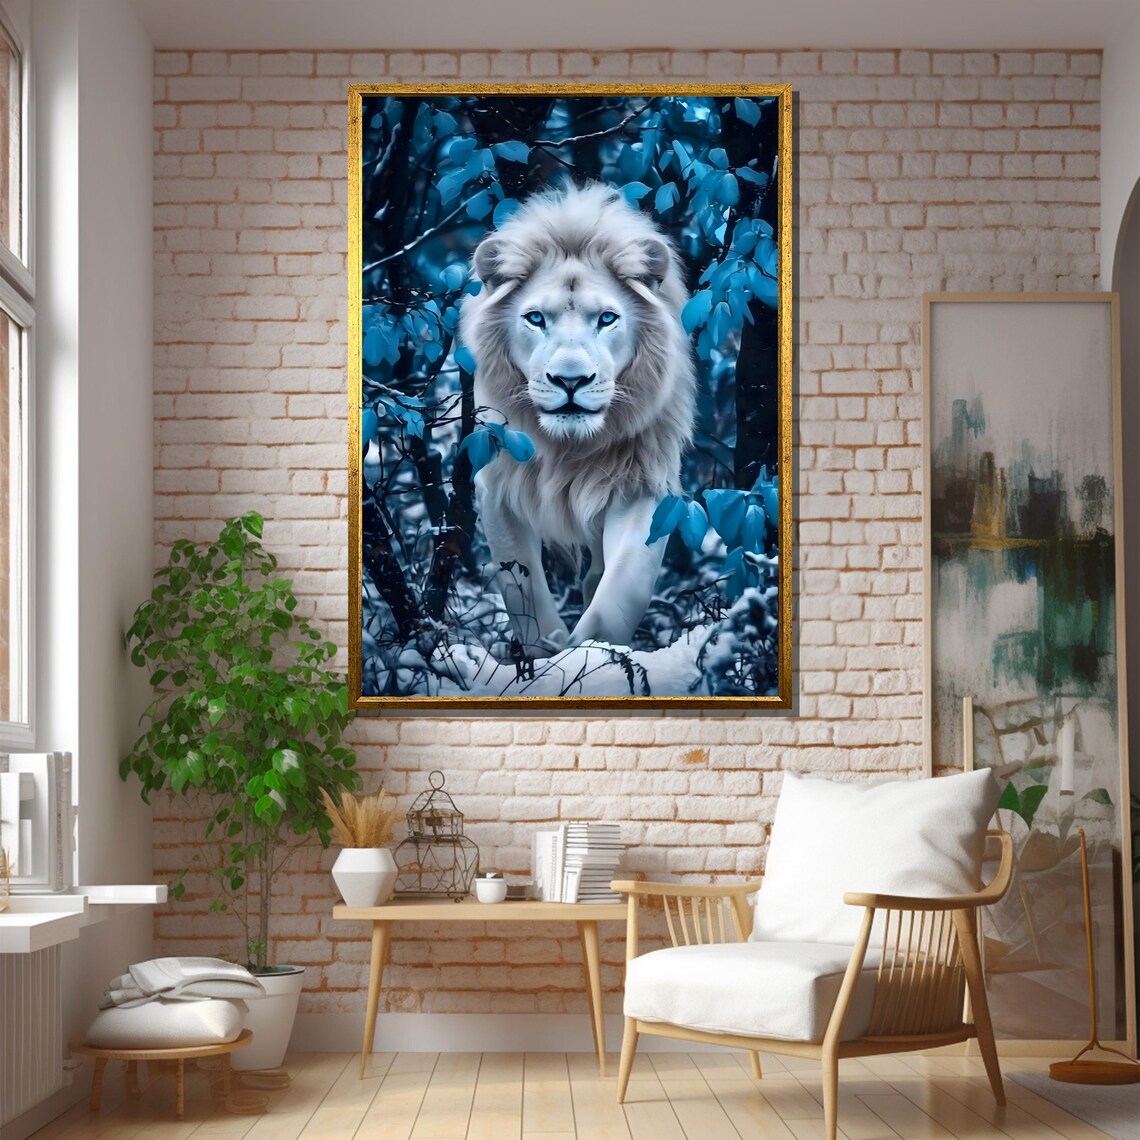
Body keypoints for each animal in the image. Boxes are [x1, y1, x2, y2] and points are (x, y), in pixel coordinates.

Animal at [458, 182, 697, 655]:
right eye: (535, 318)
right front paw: (547, 655)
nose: (571, 380)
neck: (569, 448)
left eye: (607, 318)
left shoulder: (643, 487)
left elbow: (621, 589)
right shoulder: (498, 488)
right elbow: (524, 593)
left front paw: (590, 654)